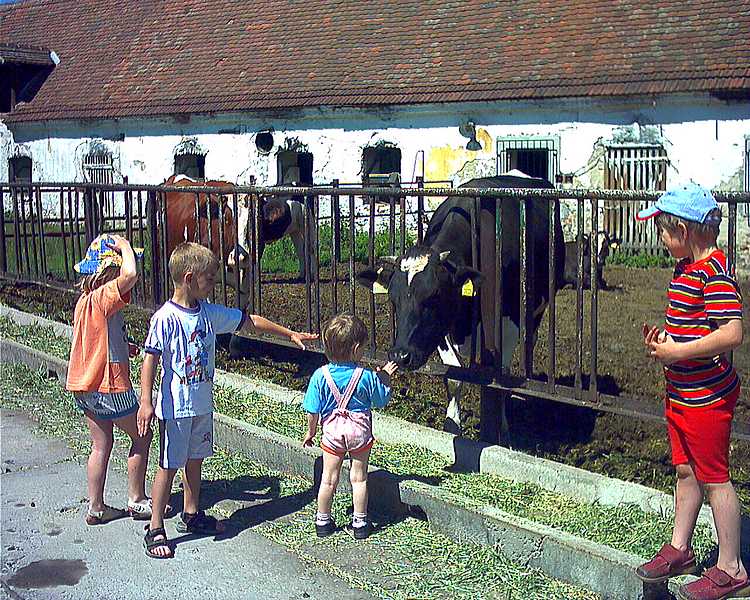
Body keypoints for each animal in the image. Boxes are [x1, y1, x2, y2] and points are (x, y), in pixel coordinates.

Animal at [358, 173, 564, 436]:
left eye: (435, 295)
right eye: (394, 298)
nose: (400, 355)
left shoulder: (507, 323)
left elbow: (501, 377)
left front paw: (503, 430)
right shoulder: (443, 327)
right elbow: (454, 376)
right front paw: (451, 425)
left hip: (538, 305)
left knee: (530, 341)